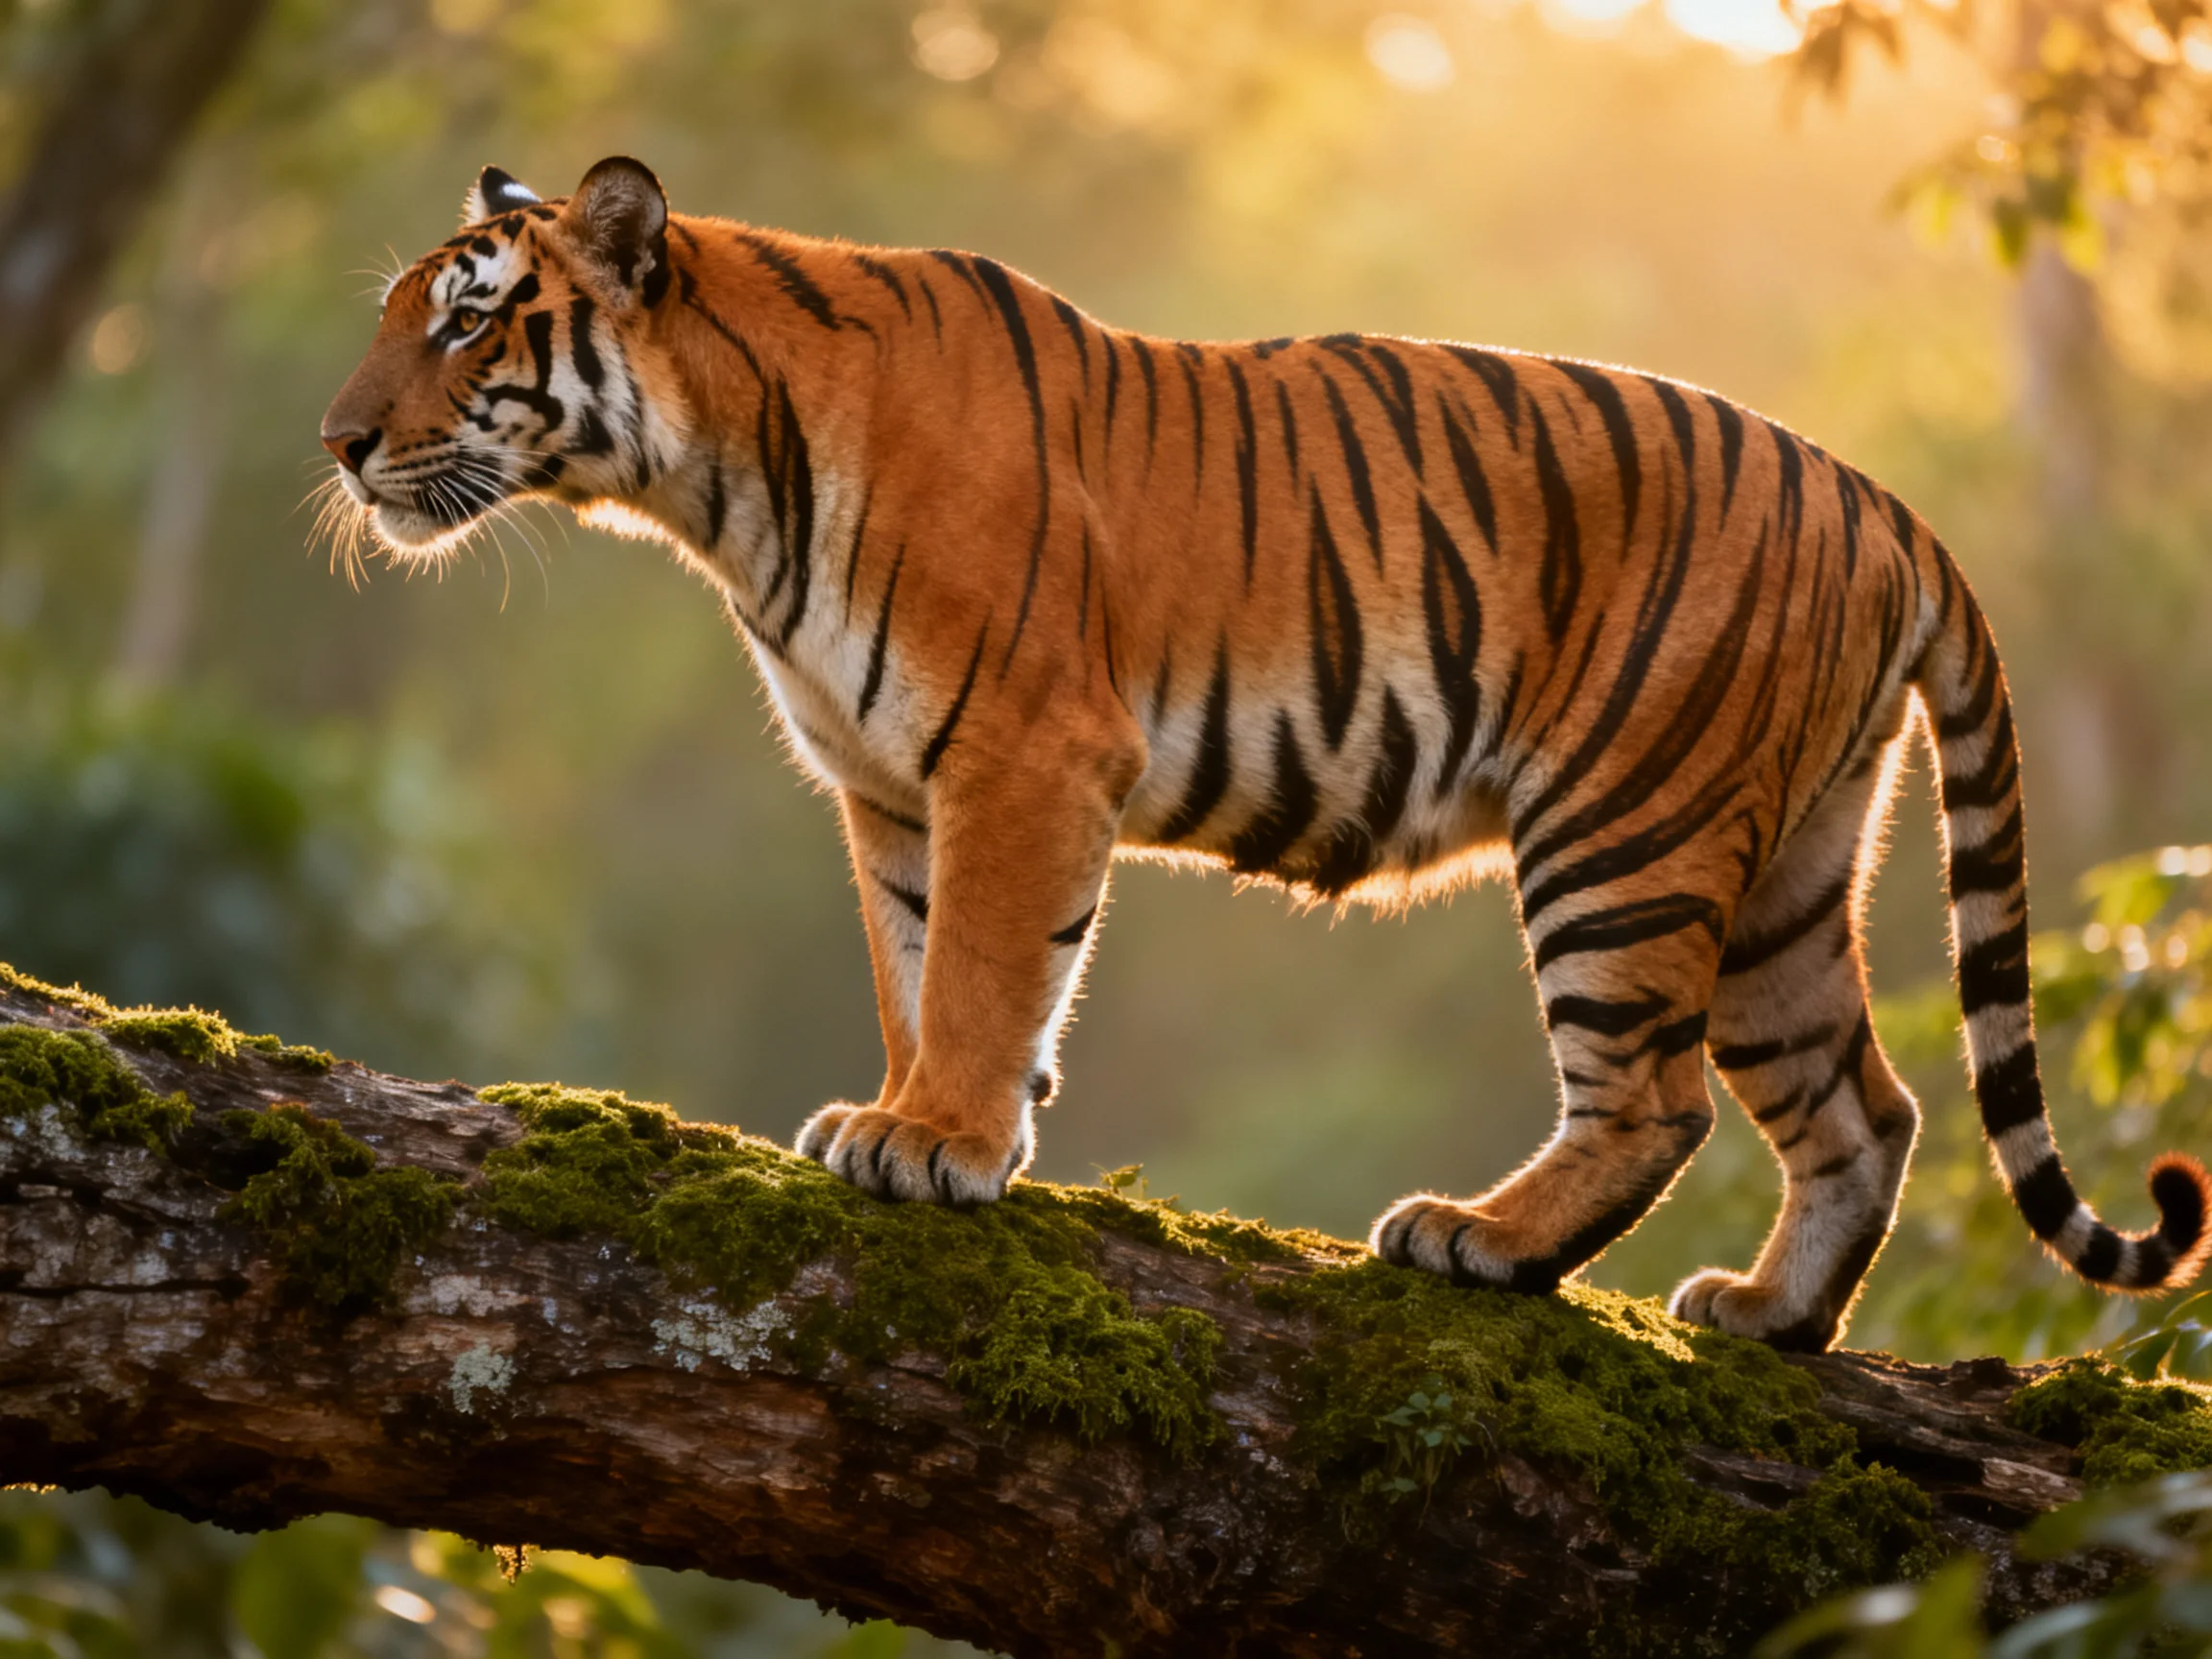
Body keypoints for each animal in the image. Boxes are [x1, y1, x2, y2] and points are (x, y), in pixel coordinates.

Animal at [321, 155, 2209, 1352]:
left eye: (469, 323)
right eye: (398, 314)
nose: (336, 443)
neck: (712, 484)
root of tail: (1887, 501)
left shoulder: (1020, 755)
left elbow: (986, 970)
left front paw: (934, 1141)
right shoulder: (889, 788)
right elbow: (921, 967)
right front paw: (927, 1116)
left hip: (1628, 829)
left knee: (1656, 1096)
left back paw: (1480, 1240)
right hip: (1787, 878)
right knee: (1866, 1109)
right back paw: (1769, 1318)